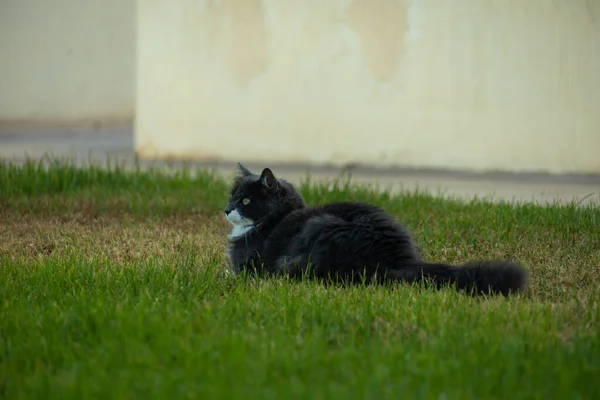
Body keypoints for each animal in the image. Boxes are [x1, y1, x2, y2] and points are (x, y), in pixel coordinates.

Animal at [226, 161, 528, 296]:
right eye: (231, 196)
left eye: (245, 200)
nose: (227, 209)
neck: (279, 217)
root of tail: (396, 259)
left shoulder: (249, 264)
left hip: (319, 232)